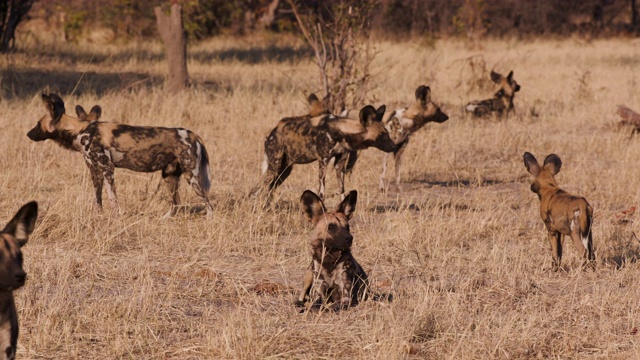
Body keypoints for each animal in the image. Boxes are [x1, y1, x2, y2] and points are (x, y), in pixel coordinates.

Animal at [27, 94, 214, 218]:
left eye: (37, 123)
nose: (28, 134)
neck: (80, 130)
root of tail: (194, 135)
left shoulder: (107, 169)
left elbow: (112, 199)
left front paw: (117, 217)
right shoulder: (95, 172)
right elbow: (97, 199)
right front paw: (98, 216)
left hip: (193, 178)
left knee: (209, 204)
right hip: (169, 176)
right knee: (176, 203)